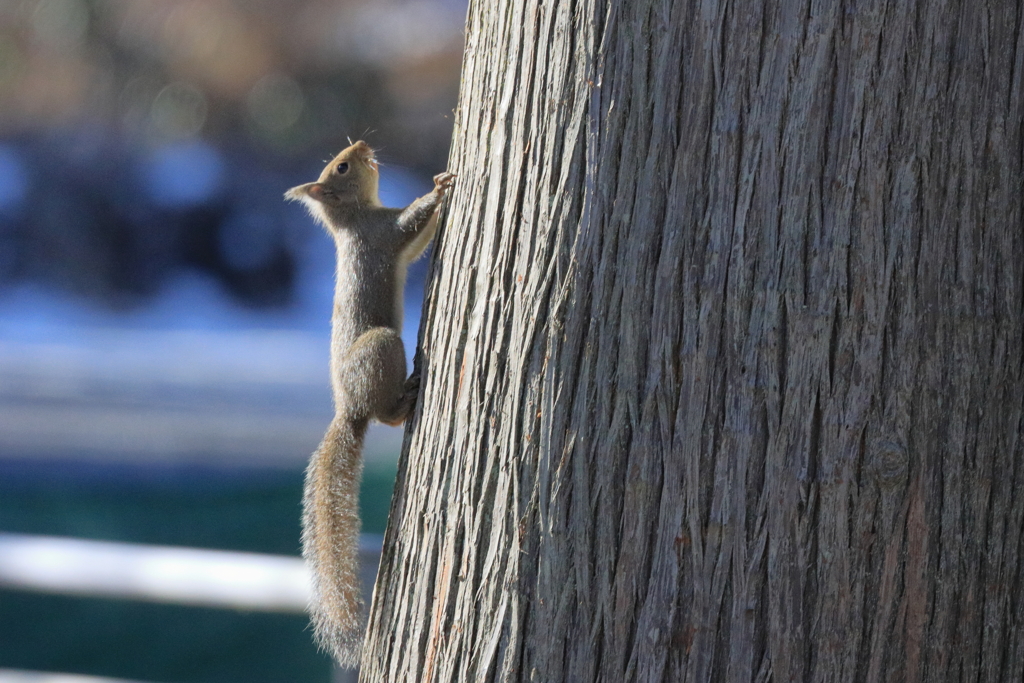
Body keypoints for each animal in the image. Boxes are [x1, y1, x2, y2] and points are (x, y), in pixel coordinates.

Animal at [282, 140, 454, 667]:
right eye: (341, 166)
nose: (362, 145)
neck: (353, 216)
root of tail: (349, 411)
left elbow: (417, 244)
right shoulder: (383, 233)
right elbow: (410, 226)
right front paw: (438, 186)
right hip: (382, 347)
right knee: (387, 414)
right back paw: (406, 397)